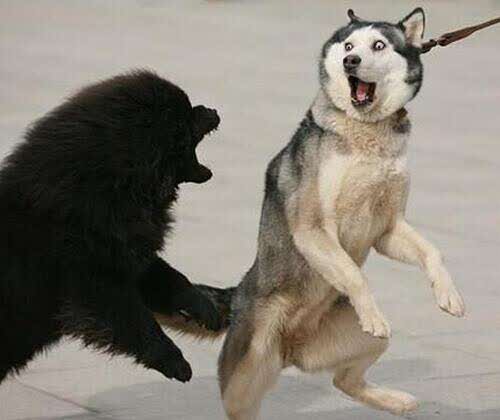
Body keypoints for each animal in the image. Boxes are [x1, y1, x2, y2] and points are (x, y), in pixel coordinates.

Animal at [0, 70, 234, 385]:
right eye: (185, 117)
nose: (212, 110)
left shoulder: (130, 259)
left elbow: (174, 281)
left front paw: (204, 309)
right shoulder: (96, 282)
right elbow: (137, 322)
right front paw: (175, 363)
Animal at [215, 8, 466, 419]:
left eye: (378, 45)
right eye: (348, 46)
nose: (352, 62)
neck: (366, 132)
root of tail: (292, 350)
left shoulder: (388, 227)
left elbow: (433, 251)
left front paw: (449, 295)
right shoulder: (313, 227)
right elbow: (353, 275)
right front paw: (373, 313)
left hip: (359, 341)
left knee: (344, 380)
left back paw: (395, 400)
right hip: (248, 369)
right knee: (243, 404)